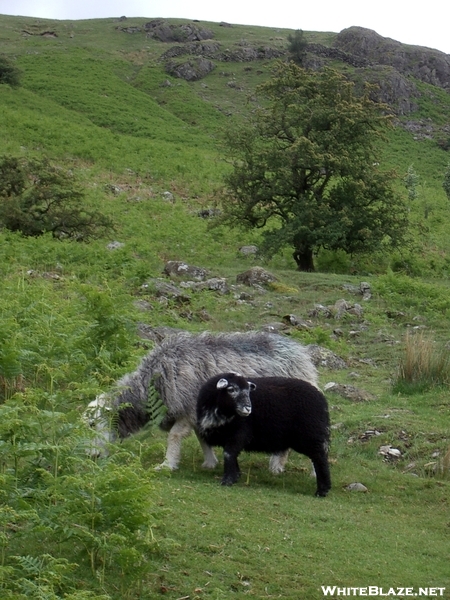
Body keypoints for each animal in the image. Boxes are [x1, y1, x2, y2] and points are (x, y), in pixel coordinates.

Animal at [196, 372, 330, 494]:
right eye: (231, 389)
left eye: (248, 391)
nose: (248, 408)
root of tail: (321, 399)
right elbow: (231, 454)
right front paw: (236, 475)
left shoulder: (240, 433)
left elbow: (228, 454)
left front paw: (228, 480)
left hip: (310, 435)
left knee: (320, 458)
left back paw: (322, 490)